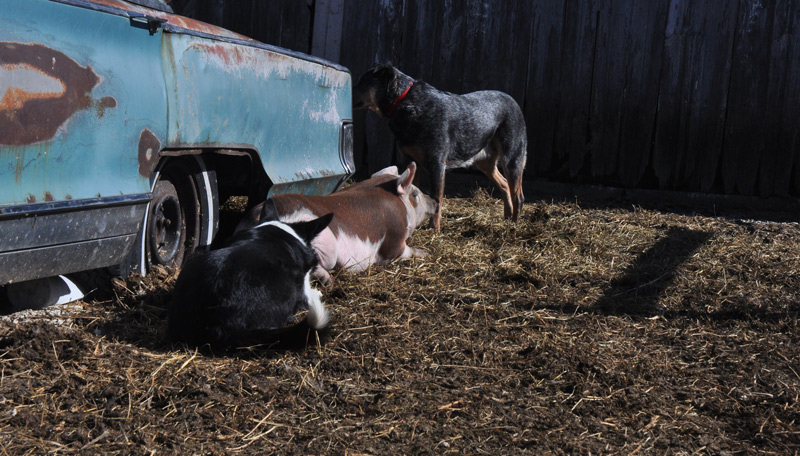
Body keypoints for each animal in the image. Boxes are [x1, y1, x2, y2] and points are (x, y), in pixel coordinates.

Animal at [238, 162, 436, 285]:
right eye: (415, 194)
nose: (435, 201)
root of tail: (258, 215)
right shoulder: (393, 243)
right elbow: (404, 252)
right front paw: (425, 254)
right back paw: (328, 281)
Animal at [353, 64, 527, 232]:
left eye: (362, 82)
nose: (349, 94)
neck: (403, 102)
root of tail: (514, 102)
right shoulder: (410, 160)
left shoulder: (436, 164)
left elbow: (436, 199)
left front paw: (434, 229)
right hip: (485, 162)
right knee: (504, 184)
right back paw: (506, 218)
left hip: (512, 159)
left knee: (518, 195)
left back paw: (514, 225)